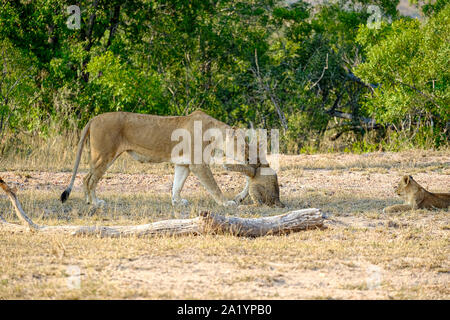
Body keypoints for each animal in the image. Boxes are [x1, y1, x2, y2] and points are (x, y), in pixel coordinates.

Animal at [59, 111, 282, 208]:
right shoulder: (198, 164)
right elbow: (213, 186)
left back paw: (89, 200)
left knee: (86, 178)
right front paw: (227, 203)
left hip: (103, 155)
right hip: (104, 154)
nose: (252, 158)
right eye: (246, 146)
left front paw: (177, 201)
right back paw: (95, 202)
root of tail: (94, 118)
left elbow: (177, 184)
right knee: (89, 179)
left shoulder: (184, 164)